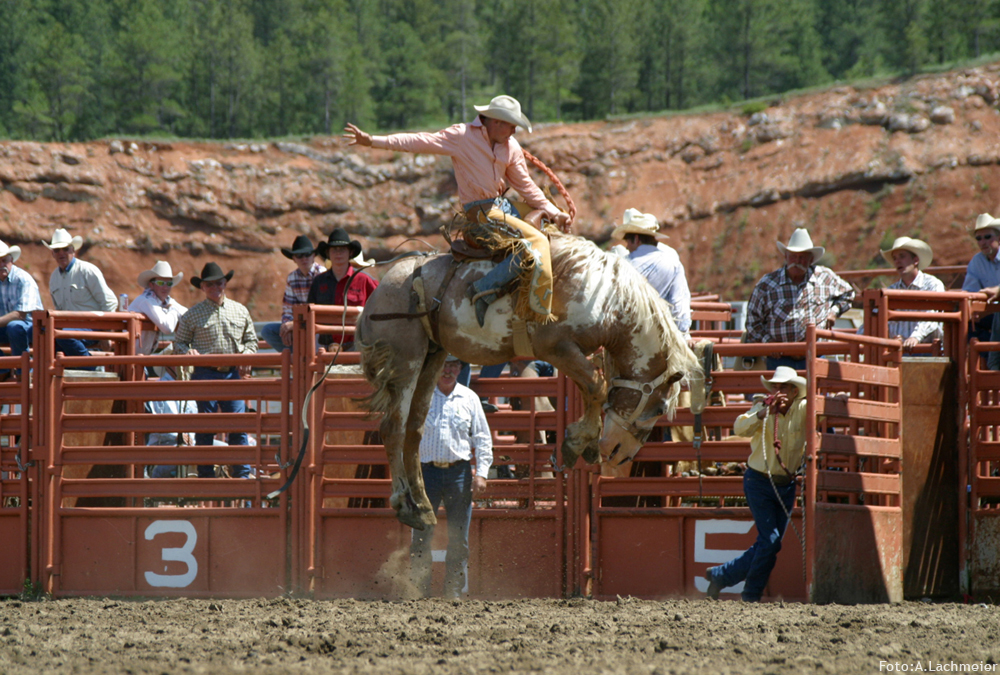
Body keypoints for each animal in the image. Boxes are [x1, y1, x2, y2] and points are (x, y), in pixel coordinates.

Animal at [356, 230, 700, 532]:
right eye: (659, 409)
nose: (622, 454)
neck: (606, 298)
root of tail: (378, 291)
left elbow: (592, 389)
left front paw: (584, 444)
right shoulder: (556, 346)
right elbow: (597, 387)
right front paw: (574, 444)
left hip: (433, 356)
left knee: (414, 429)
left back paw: (425, 508)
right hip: (405, 360)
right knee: (393, 428)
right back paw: (405, 506)